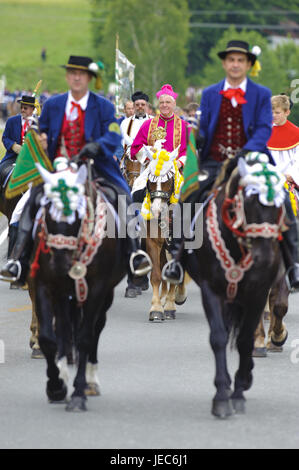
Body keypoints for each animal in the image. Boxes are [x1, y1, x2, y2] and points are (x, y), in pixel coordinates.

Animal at [31, 159, 127, 412]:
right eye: (48, 214)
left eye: (77, 216)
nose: (60, 265)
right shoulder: (45, 285)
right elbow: (49, 338)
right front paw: (56, 386)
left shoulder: (97, 288)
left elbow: (85, 338)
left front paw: (78, 393)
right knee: (64, 331)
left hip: (104, 295)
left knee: (95, 329)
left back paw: (90, 382)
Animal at [135, 145, 188, 322]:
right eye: (150, 181)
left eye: (167, 181)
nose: (156, 210)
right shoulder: (153, 241)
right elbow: (157, 275)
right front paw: (157, 308)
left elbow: (175, 274)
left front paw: (171, 306)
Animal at [184, 152, 288, 416]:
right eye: (248, 201)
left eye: (279, 204)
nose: (264, 258)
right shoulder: (211, 291)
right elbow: (219, 336)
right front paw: (222, 395)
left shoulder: (259, 291)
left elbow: (247, 336)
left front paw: (240, 389)